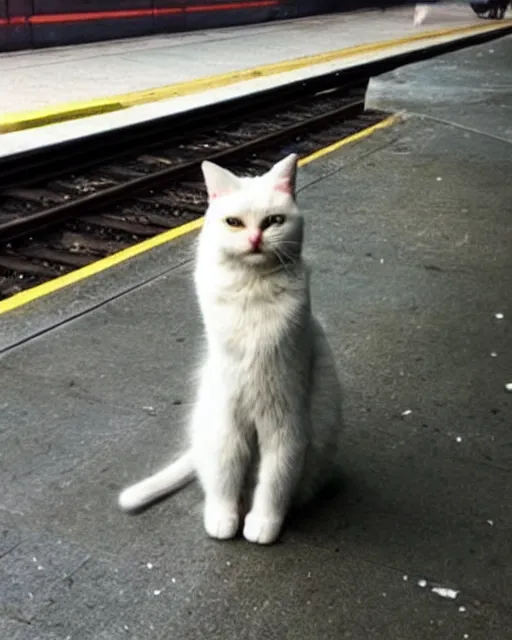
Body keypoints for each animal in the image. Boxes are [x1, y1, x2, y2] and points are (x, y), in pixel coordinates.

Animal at [119, 154, 342, 544]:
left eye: (273, 221)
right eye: (234, 223)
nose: (254, 238)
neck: (252, 291)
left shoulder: (286, 426)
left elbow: (275, 483)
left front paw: (263, 525)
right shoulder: (228, 424)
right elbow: (226, 475)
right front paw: (223, 519)